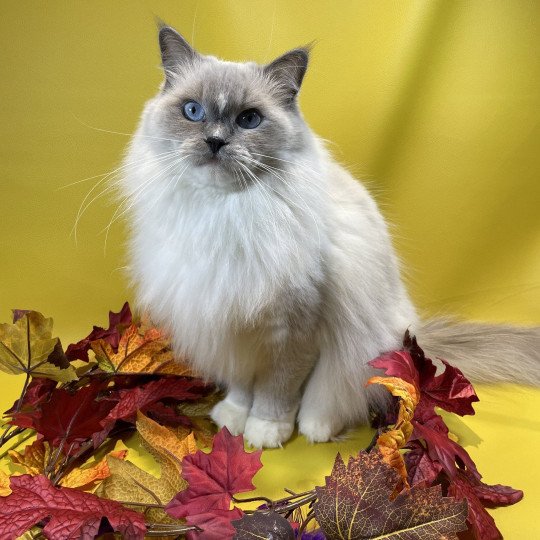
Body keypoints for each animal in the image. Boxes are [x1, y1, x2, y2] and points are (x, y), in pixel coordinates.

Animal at [122, 25, 540, 448]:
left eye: (249, 119)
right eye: (193, 111)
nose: (215, 141)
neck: (224, 214)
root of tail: (416, 333)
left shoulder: (293, 333)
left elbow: (276, 392)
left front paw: (265, 431)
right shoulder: (229, 328)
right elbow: (241, 388)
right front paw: (234, 419)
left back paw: (317, 426)